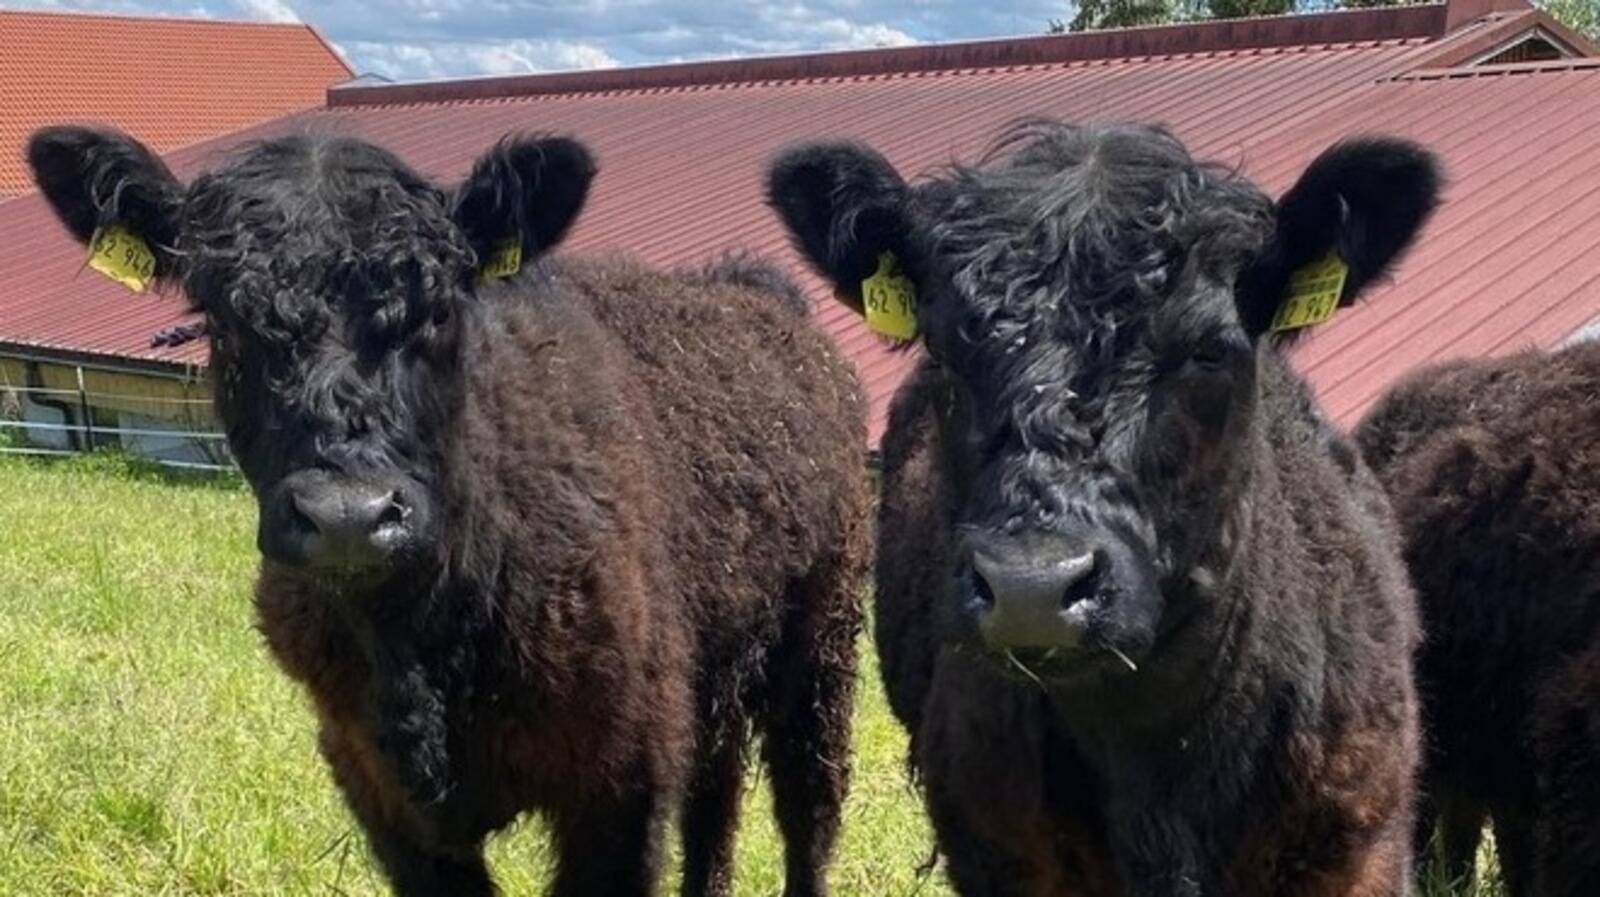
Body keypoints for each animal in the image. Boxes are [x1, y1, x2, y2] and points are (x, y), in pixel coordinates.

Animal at [28, 126, 871, 897]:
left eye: (438, 309)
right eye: (222, 316)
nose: (349, 515)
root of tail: (753, 287)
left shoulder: (619, 774)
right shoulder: (376, 784)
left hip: (821, 645)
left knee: (808, 809)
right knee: (715, 803)